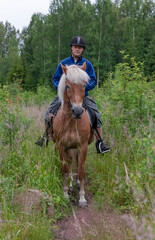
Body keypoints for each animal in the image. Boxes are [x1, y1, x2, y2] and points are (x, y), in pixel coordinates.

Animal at [52, 62, 94, 206]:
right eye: (68, 86)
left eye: (84, 85)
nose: (77, 111)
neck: (70, 121)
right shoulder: (61, 146)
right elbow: (64, 170)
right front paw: (65, 194)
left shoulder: (83, 146)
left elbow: (81, 171)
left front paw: (82, 198)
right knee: (70, 162)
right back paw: (70, 185)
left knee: (75, 162)